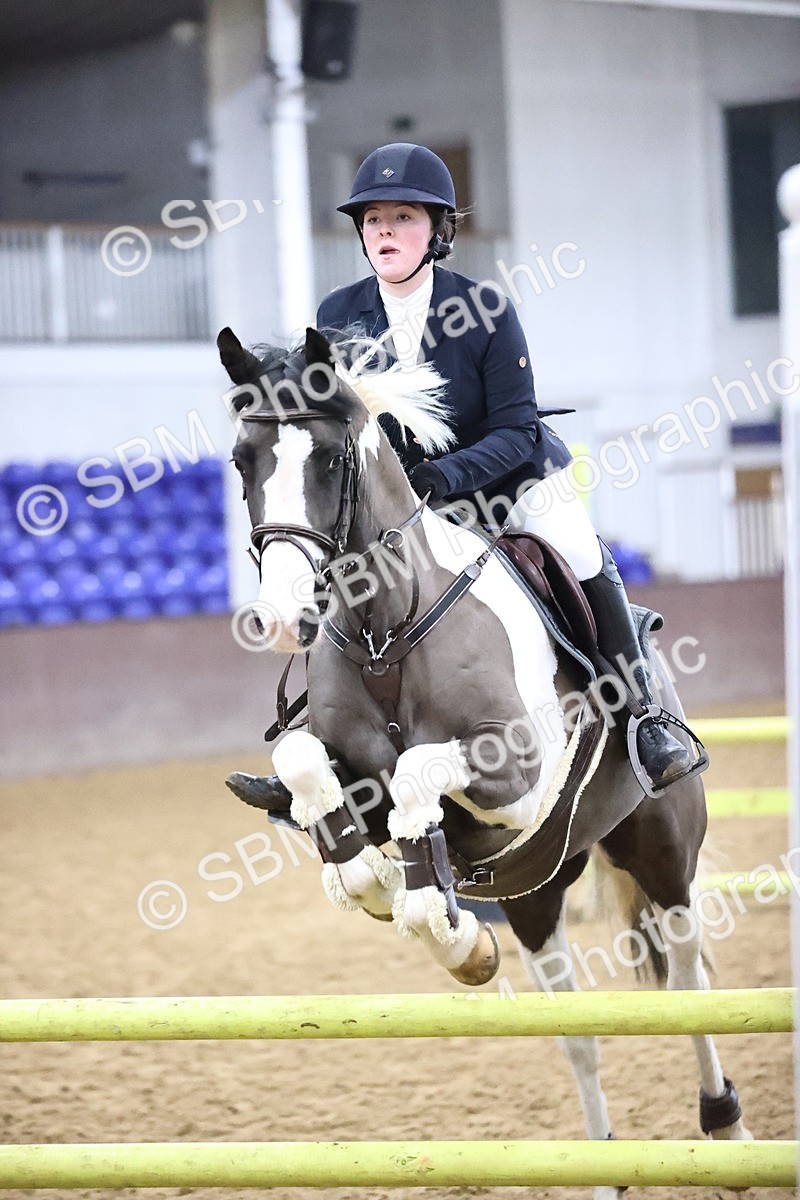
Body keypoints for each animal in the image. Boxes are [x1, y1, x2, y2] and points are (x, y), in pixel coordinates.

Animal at [218, 324, 751, 1194]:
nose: (280, 618)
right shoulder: (353, 767)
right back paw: (604, 1167)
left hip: (662, 850)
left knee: (686, 976)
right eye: (243, 459)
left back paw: (728, 1127)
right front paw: (389, 892)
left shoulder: (516, 774)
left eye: (328, 460)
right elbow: (307, 764)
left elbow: (417, 776)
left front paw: (430, 912)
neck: (386, 626)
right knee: (578, 1031)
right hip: (537, 890)